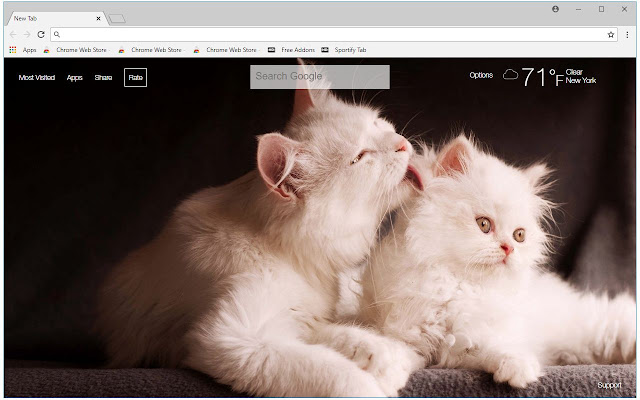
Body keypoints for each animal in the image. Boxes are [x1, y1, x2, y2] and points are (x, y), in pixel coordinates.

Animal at [96, 63, 425, 397]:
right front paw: (372, 381)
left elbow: (344, 335)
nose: (401, 143)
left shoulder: (302, 319)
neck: (285, 250)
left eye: (377, 122)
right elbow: (333, 370)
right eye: (360, 157)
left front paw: (386, 359)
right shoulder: (234, 339)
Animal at [359, 135, 636, 388]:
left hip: (597, 328)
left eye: (519, 235)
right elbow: (394, 351)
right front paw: (380, 372)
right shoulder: (412, 337)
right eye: (484, 224)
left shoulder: (479, 337)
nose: (508, 248)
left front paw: (520, 371)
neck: (457, 286)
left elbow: (501, 348)